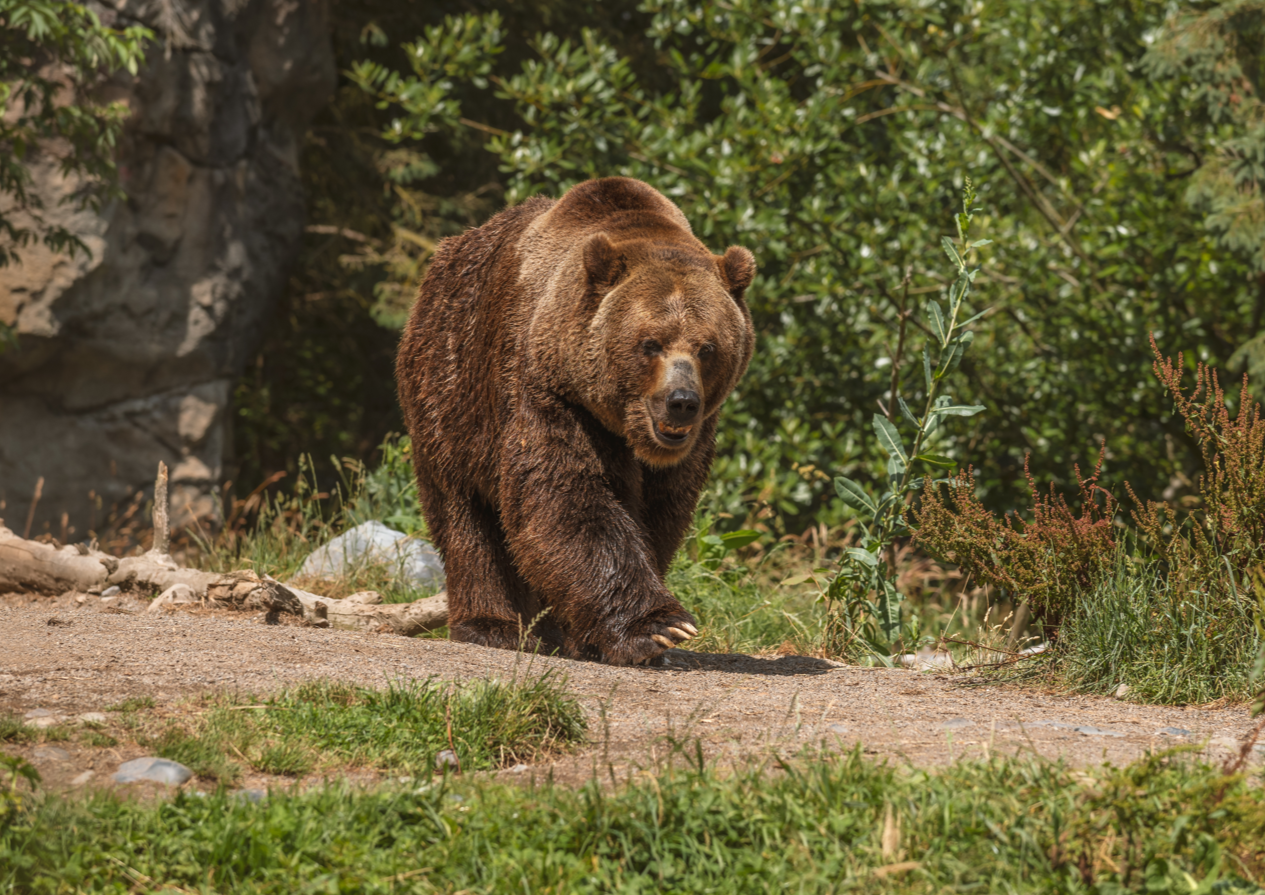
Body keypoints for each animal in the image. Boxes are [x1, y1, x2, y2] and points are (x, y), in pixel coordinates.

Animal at [397, 176, 748, 662]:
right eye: (650, 343)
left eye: (707, 347)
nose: (681, 401)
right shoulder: (549, 392)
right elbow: (567, 498)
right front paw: (658, 627)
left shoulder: (686, 448)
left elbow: (660, 515)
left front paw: (602, 636)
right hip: (449, 386)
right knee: (465, 514)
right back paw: (491, 625)